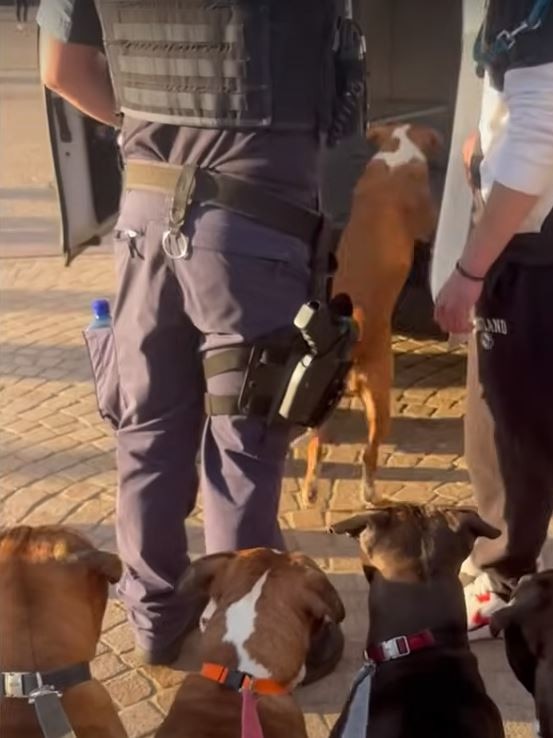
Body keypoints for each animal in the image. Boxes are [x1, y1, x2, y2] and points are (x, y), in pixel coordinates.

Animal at [300, 123, 442, 508]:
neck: (396, 152)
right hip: (381, 403)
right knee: (369, 453)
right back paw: (369, 492)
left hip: (323, 407)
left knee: (316, 449)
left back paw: (311, 490)